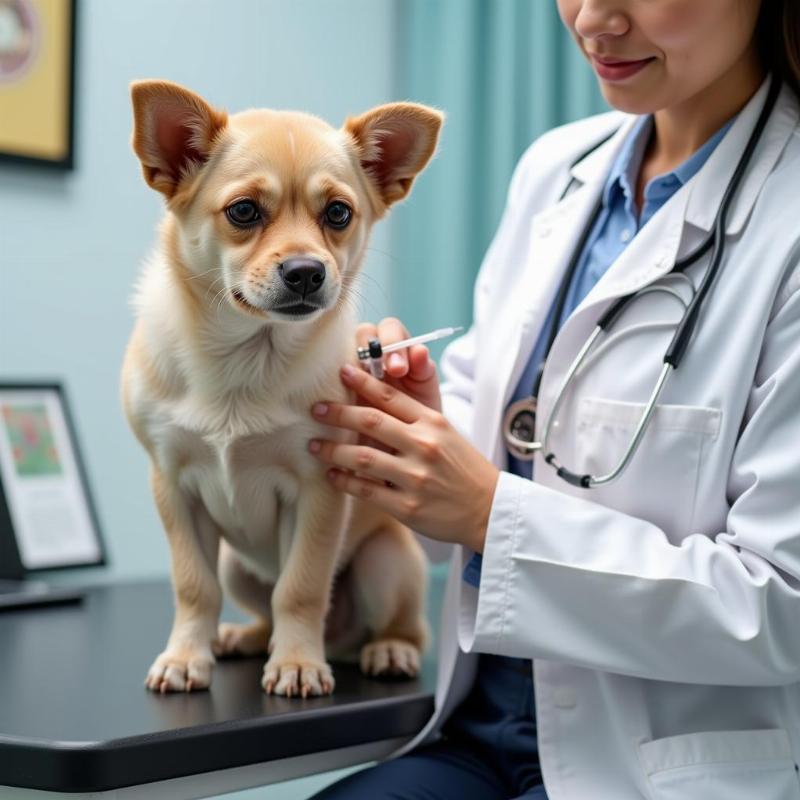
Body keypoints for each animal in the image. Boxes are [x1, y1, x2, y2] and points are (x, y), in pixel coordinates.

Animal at [122, 81, 440, 692]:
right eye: (244, 211)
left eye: (338, 213)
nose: (306, 272)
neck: (246, 357)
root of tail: (342, 640)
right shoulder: (172, 486)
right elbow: (193, 586)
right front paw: (185, 656)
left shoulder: (319, 491)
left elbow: (301, 587)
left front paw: (296, 663)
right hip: (237, 567)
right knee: (259, 606)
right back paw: (243, 638)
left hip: (388, 560)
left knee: (403, 627)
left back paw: (384, 649)